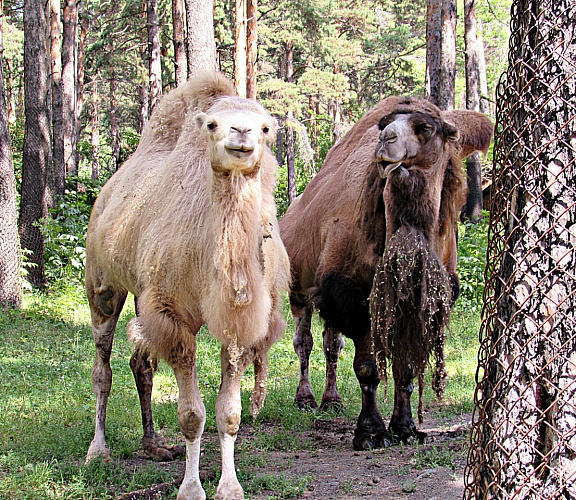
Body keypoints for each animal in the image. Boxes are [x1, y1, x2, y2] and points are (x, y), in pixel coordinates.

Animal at [84, 72, 288, 498]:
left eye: (265, 127)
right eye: (212, 124)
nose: (241, 132)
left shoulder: (243, 324)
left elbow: (229, 413)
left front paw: (229, 486)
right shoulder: (173, 315)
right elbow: (192, 414)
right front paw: (191, 488)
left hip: (141, 293)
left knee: (140, 362)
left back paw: (154, 444)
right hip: (103, 285)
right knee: (102, 368)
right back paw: (98, 451)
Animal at [278, 95, 490, 452]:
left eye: (426, 128)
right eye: (384, 125)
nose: (386, 140)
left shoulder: (415, 302)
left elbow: (406, 368)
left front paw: (405, 428)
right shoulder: (355, 294)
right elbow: (368, 368)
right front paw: (370, 432)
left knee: (331, 343)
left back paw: (331, 401)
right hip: (300, 289)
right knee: (304, 341)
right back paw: (305, 399)